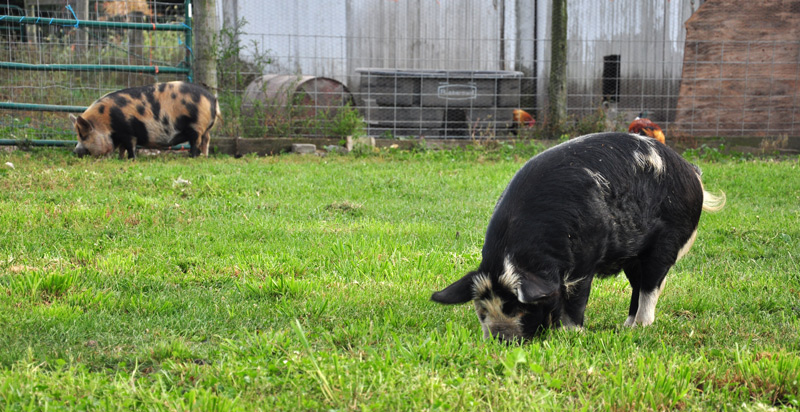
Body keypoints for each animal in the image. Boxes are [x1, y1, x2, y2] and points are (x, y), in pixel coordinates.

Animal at [70, 81, 220, 159]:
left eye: (83, 136)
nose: (75, 151)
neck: (107, 122)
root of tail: (212, 99)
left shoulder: (128, 132)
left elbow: (130, 146)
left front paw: (131, 159)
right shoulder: (120, 136)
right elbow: (122, 148)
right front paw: (120, 158)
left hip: (196, 125)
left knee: (196, 141)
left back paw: (192, 156)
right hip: (205, 129)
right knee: (206, 140)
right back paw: (204, 156)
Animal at [431, 132, 725, 341]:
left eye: (517, 307)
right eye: (482, 311)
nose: (500, 339)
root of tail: (692, 172)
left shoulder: (585, 259)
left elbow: (576, 296)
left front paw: (571, 333)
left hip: (667, 241)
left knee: (651, 285)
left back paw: (639, 328)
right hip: (632, 255)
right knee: (638, 285)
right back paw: (625, 325)